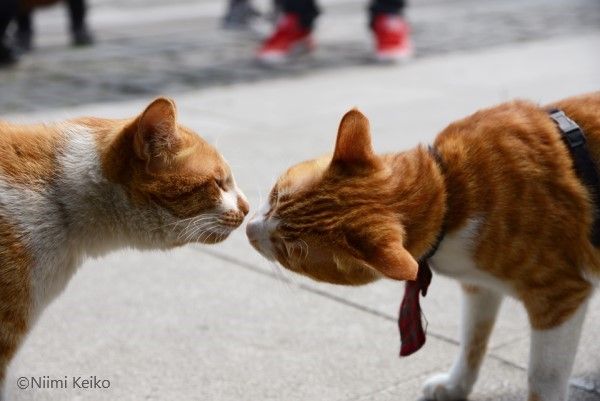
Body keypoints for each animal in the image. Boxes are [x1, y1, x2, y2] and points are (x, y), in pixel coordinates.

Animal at [247, 92, 600, 400]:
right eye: (276, 196)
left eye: (289, 251)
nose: (249, 231)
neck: (453, 195)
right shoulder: (480, 286)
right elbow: (472, 340)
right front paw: (457, 386)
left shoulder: (559, 297)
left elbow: (543, 377)